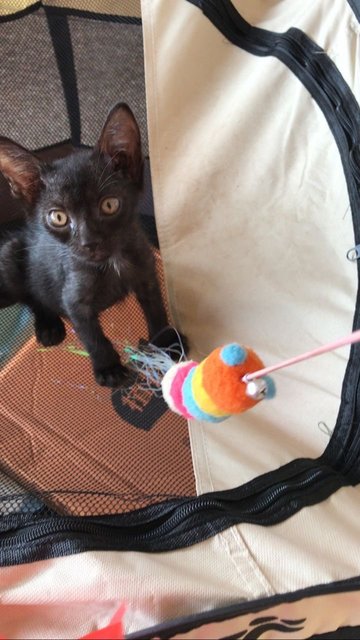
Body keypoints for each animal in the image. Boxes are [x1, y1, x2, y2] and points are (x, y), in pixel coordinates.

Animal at [0, 104, 174, 384]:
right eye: (59, 217)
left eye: (109, 204)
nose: (89, 241)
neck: (112, 264)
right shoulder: (74, 299)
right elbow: (92, 336)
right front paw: (109, 368)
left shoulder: (146, 271)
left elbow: (156, 308)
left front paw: (166, 343)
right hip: (9, 256)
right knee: (31, 295)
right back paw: (49, 326)